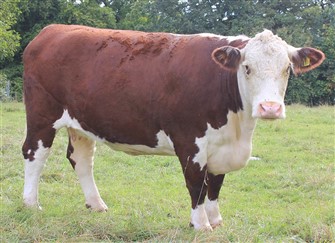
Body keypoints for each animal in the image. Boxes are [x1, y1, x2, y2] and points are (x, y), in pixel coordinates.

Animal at [22, 24, 326, 230]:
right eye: (247, 67)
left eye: (287, 69)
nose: (270, 108)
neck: (238, 128)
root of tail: (53, 30)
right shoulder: (190, 140)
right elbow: (197, 183)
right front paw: (200, 224)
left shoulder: (221, 144)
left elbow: (216, 183)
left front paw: (215, 221)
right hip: (42, 116)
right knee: (34, 154)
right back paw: (31, 204)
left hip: (81, 121)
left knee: (81, 159)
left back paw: (96, 205)